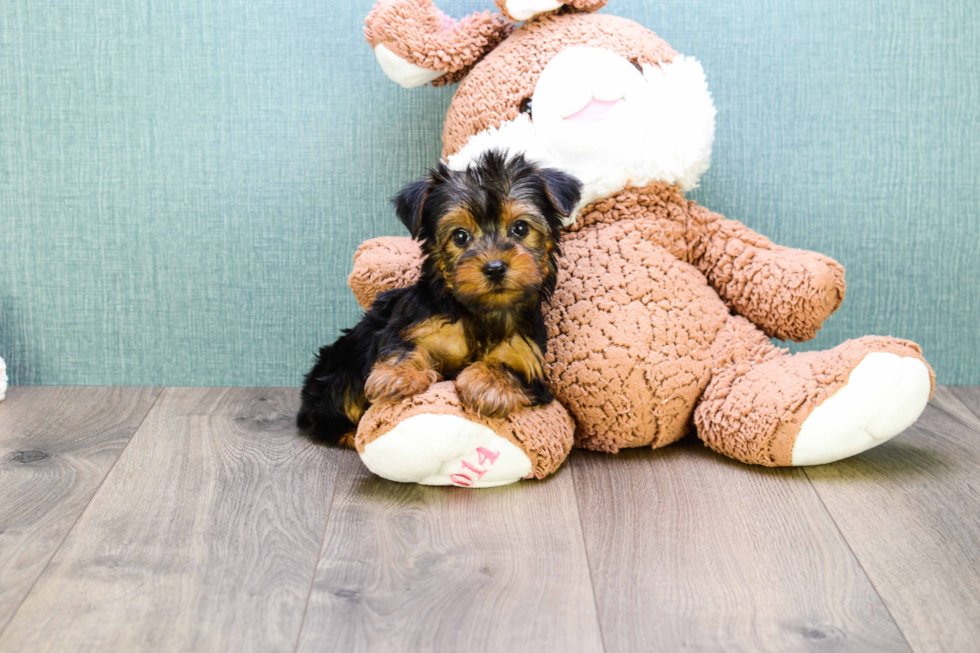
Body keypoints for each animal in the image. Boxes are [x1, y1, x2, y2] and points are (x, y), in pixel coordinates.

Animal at [294, 149, 580, 444]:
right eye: (460, 236)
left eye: (520, 229)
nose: (495, 268)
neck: (480, 312)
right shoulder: (412, 322)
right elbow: (403, 344)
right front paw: (398, 376)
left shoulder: (529, 361)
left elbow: (510, 368)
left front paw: (487, 383)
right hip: (339, 369)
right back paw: (350, 433)